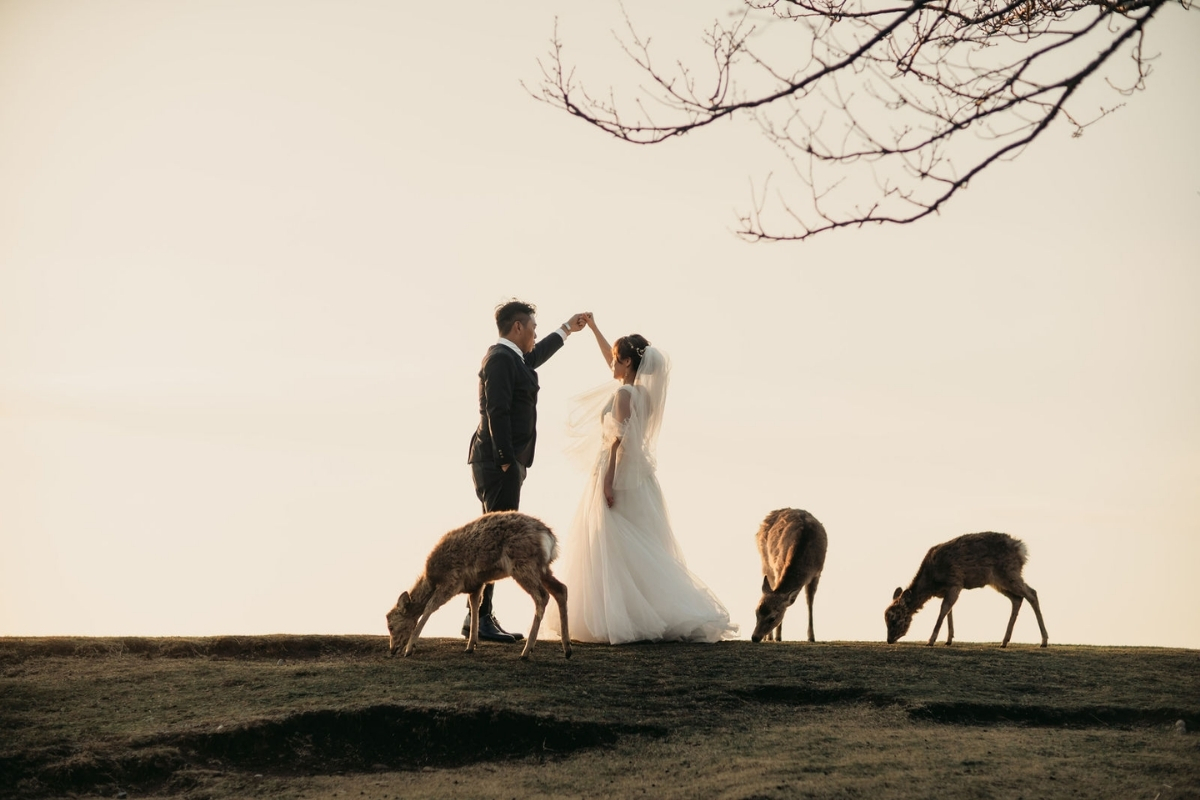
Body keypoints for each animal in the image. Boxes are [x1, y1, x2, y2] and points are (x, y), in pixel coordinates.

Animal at [384, 513, 571, 662]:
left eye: (391, 626)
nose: (392, 650)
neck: (433, 578)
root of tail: (550, 539)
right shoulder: (476, 583)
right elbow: (475, 605)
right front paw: (470, 645)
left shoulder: (452, 581)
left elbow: (430, 607)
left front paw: (409, 648)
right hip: (543, 568)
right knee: (561, 589)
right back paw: (567, 649)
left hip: (523, 564)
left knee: (542, 596)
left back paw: (526, 651)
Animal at [748, 513, 825, 642]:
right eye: (756, 612)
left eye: (772, 618)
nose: (755, 637)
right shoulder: (778, 566)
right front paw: (778, 637)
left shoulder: (817, 573)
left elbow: (810, 602)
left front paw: (811, 637)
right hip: (765, 562)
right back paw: (769, 637)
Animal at [883, 532, 1051, 652]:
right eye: (885, 620)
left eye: (895, 619)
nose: (889, 640)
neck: (931, 582)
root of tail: (1022, 549)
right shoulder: (947, 589)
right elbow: (949, 611)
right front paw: (949, 639)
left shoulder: (955, 581)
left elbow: (944, 610)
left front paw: (930, 640)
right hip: (997, 582)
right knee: (1017, 599)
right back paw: (1004, 641)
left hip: (1009, 572)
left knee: (1031, 593)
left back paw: (1044, 641)